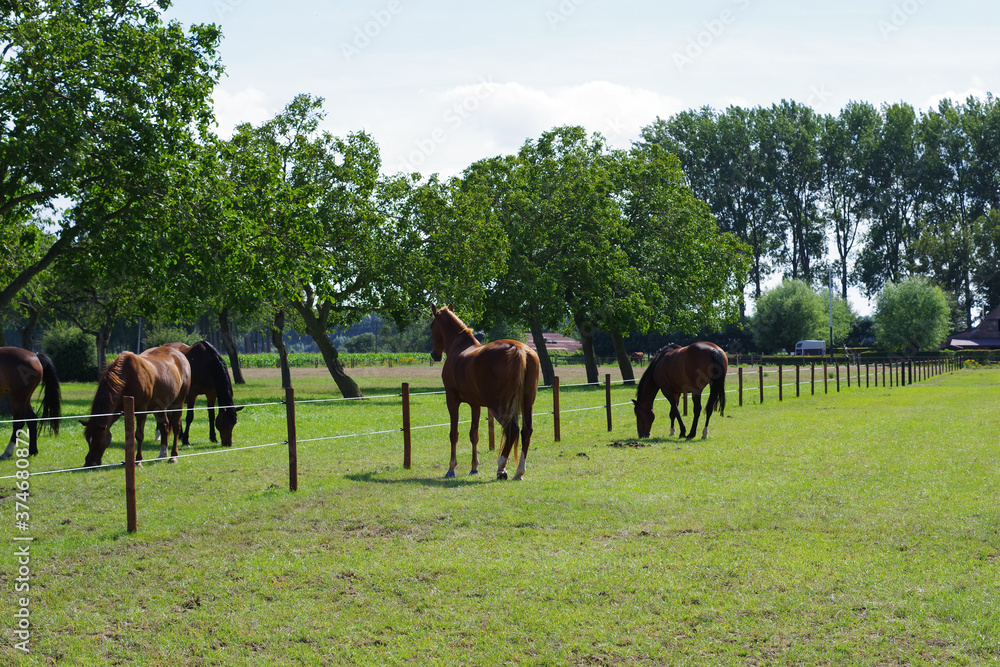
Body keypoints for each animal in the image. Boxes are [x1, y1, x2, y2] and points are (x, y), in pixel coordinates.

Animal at [430, 304, 540, 480]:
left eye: (431, 326)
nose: (434, 354)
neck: (459, 347)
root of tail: (519, 349)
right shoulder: (475, 404)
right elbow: (474, 434)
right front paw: (474, 468)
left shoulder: (452, 400)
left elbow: (454, 434)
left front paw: (451, 469)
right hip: (527, 402)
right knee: (526, 431)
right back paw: (519, 471)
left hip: (498, 405)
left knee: (512, 429)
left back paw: (501, 468)